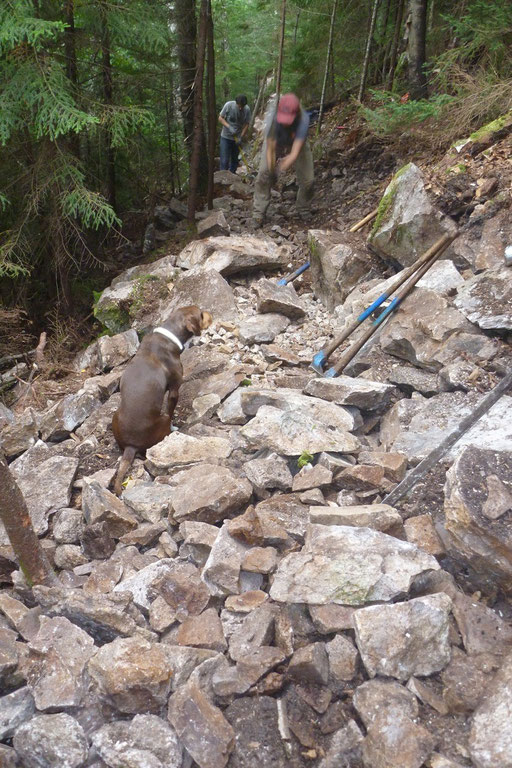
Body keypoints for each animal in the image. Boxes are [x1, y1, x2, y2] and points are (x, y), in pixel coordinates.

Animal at [112, 304, 212, 496]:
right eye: (201, 314)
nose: (211, 313)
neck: (169, 335)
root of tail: (130, 446)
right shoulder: (174, 390)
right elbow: (172, 411)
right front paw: (175, 426)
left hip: (115, 415)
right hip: (162, 419)